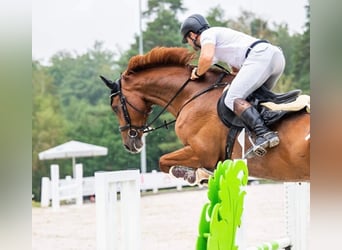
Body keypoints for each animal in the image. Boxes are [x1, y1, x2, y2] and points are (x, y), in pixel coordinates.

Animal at [101, 47, 310, 184]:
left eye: (115, 107)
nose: (130, 145)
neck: (192, 94)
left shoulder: (202, 152)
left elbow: (163, 161)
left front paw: (194, 175)